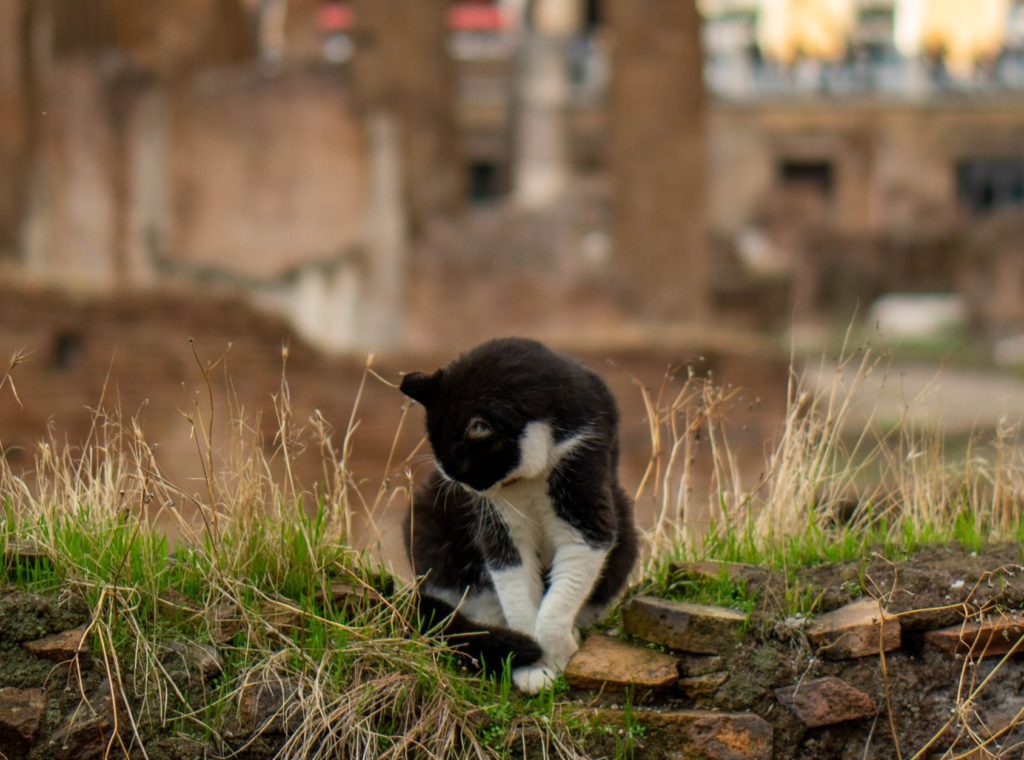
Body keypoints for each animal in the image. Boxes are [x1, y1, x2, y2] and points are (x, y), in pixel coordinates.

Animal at [401, 340, 634, 696]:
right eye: (452, 475)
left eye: (467, 469)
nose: (470, 492)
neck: (530, 478)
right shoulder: (500, 524)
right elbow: (514, 583)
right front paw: (530, 661)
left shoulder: (583, 470)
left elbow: (561, 595)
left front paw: (556, 655)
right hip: (427, 522)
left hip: (626, 531)